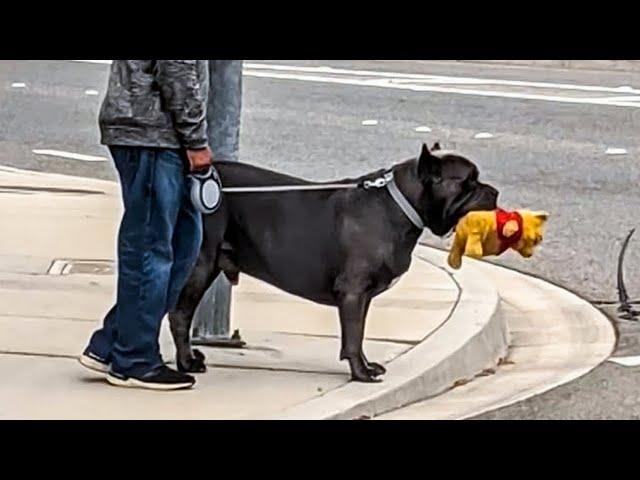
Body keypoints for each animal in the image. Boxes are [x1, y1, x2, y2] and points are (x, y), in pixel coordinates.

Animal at [168, 142, 498, 382]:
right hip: (200, 264)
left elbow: (359, 334)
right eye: (469, 181)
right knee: (180, 315)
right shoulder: (353, 291)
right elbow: (352, 336)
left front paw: (366, 365)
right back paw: (187, 362)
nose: (494, 191)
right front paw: (361, 374)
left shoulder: (362, 297)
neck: (399, 204)